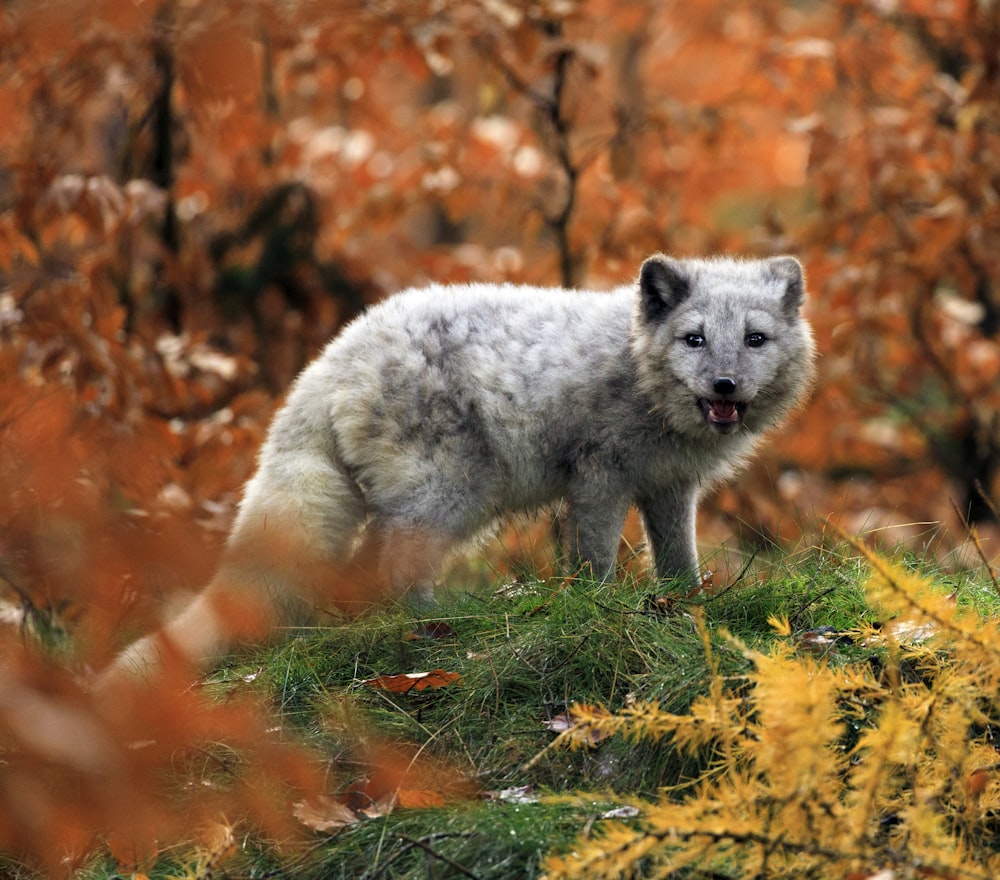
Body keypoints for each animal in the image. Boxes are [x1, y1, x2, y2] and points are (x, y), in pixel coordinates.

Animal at [103, 254, 820, 680]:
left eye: (754, 340)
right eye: (694, 339)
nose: (725, 385)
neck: (635, 368)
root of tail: (329, 359)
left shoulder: (669, 487)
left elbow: (679, 564)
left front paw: (689, 609)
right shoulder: (599, 476)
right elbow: (593, 562)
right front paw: (596, 609)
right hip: (448, 499)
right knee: (388, 570)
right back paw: (439, 629)